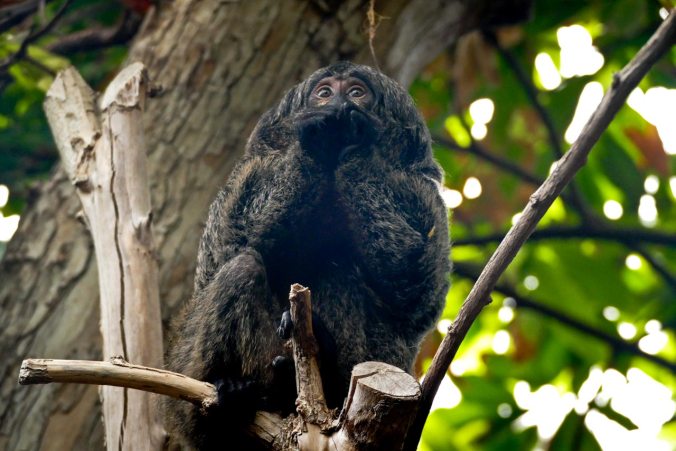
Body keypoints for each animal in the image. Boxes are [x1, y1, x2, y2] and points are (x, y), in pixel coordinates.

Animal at [164, 61, 450, 450]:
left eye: (357, 92)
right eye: (324, 93)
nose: (340, 101)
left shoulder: (424, 193)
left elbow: (416, 290)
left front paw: (355, 141)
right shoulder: (251, 173)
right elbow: (226, 247)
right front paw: (314, 142)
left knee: (341, 273)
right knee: (242, 267)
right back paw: (228, 398)